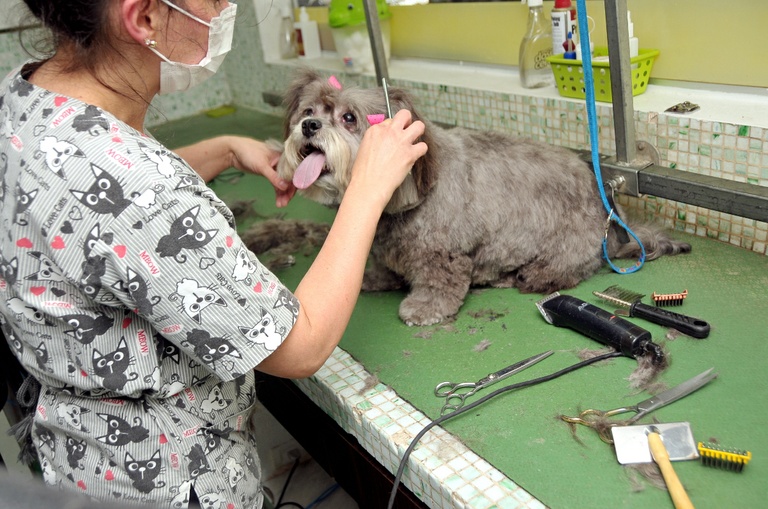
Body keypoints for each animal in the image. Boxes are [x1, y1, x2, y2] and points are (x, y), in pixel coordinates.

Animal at [276, 69, 688, 326]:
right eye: (309, 110)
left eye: (349, 118)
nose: (309, 125)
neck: (415, 185)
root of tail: (610, 214)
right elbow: (382, 263)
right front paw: (376, 277)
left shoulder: (443, 254)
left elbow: (439, 283)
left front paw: (424, 308)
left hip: (564, 248)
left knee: (560, 271)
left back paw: (520, 277)